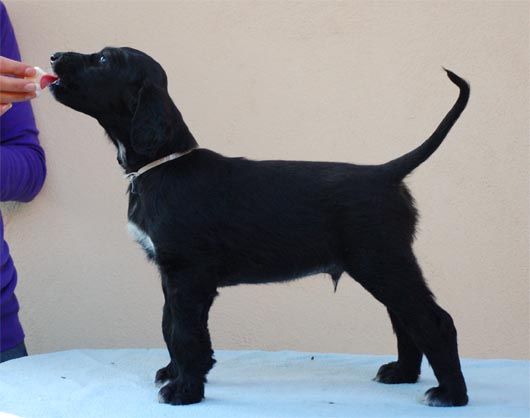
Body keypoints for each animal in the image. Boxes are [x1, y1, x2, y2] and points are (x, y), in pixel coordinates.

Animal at [49, 47, 470, 407]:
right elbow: (169, 324)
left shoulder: (188, 274)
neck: (163, 164)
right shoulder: (170, 274)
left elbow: (185, 333)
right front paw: (174, 373)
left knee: (433, 321)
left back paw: (451, 394)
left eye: (104, 59)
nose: (53, 57)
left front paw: (185, 390)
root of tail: (386, 173)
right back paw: (402, 374)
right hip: (383, 265)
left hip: (381, 262)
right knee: (406, 320)